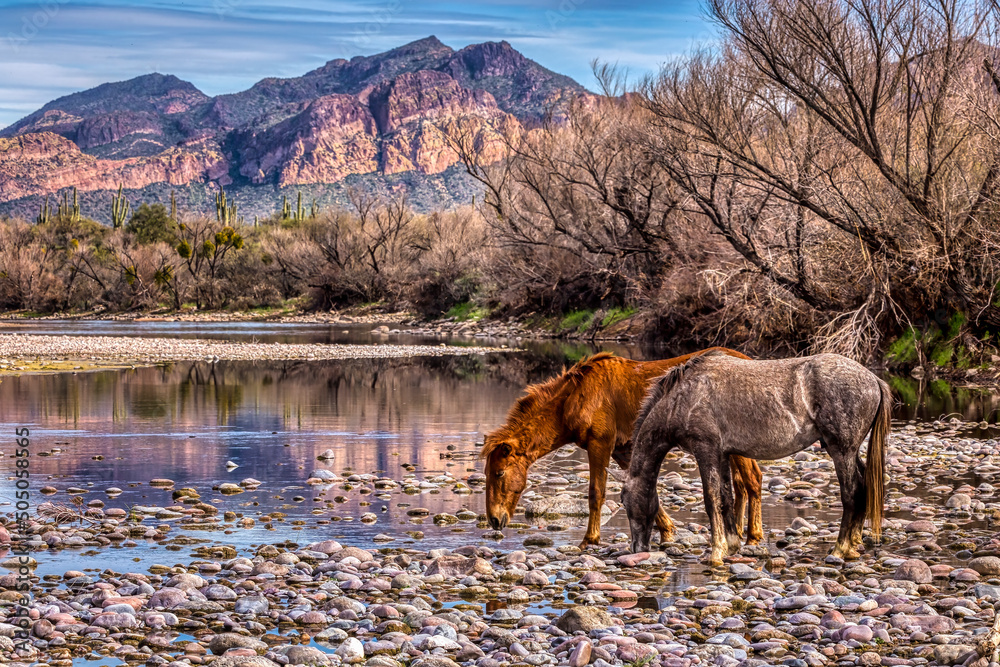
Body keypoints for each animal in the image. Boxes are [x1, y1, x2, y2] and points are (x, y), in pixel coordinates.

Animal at [482, 348, 764, 548]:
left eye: (499, 473)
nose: (494, 520)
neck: (574, 398)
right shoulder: (622, 451)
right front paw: (667, 532)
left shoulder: (600, 445)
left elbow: (596, 493)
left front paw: (590, 539)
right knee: (742, 484)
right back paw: (739, 532)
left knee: (752, 480)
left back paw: (754, 535)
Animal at [622, 351, 890, 566]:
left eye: (624, 502)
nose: (637, 549)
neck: (683, 397)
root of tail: (873, 379)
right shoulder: (723, 454)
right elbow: (726, 497)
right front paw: (731, 545)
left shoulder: (706, 450)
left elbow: (711, 500)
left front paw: (716, 552)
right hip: (851, 452)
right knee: (863, 487)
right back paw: (853, 546)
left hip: (841, 451)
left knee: (852, 493)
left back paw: (840, 548)